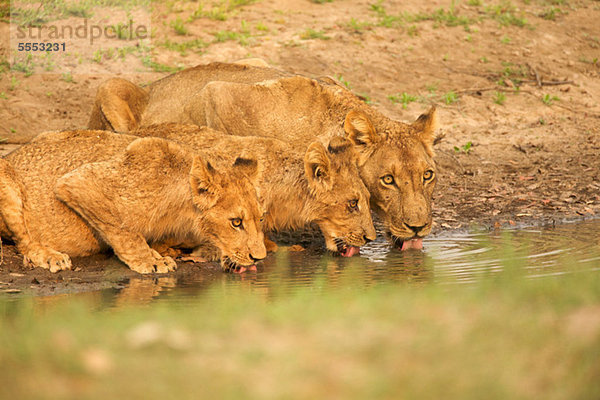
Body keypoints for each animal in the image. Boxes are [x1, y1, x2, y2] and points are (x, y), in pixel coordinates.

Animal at [0, 130, 264, 274]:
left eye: (260, 219)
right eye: (236, 222)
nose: (259, 258)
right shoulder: (79, 181)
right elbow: (125, 231)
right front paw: (151, 260)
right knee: (24, 241)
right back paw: (49, 256)